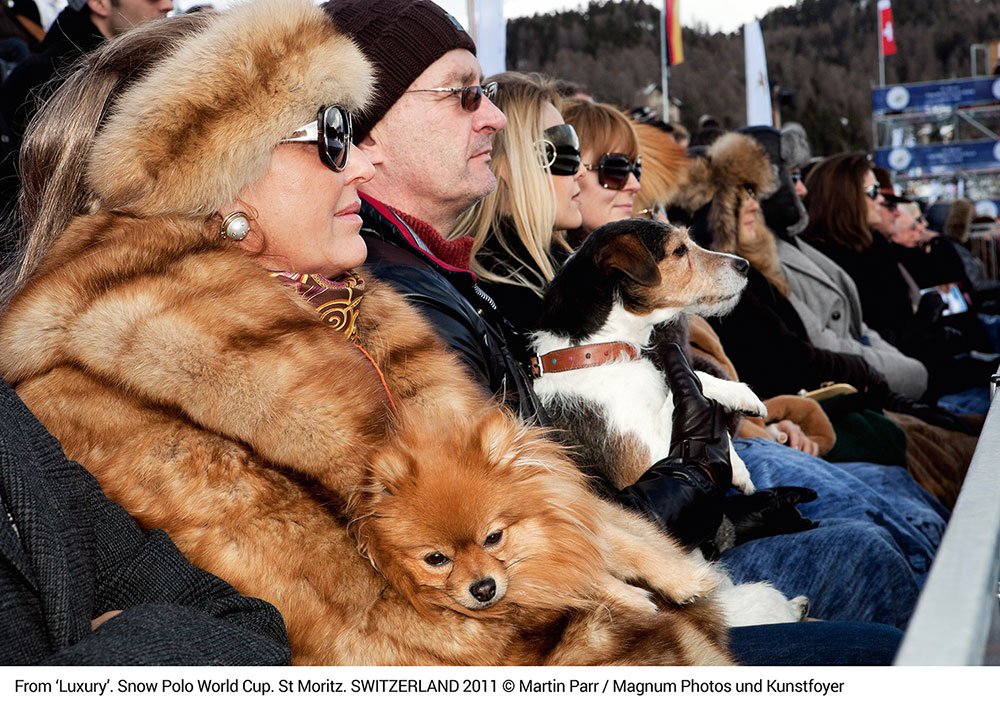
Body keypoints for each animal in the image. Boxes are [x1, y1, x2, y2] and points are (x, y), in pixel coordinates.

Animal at [354, 406, 736, 668]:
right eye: (436, 559)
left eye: (493, 537)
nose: (483, 589)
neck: (544, 538)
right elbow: (591, 580)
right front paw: (636, 600)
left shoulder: (578, 519)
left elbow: (633, 550)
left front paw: (685, 581)